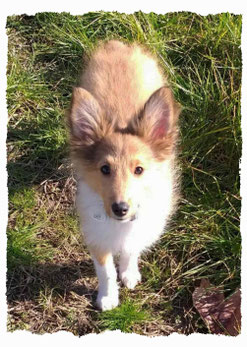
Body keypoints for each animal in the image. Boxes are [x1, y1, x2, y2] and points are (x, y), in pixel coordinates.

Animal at [67, 40, 179, 312]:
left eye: (139, 169)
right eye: (104, 169)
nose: (120, 208)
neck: (120, 225)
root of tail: (117, 45)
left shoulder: (144, 223)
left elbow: (132, 247)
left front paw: (129, 273)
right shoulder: (96, 235)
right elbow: (106, 271)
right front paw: (108, 298)